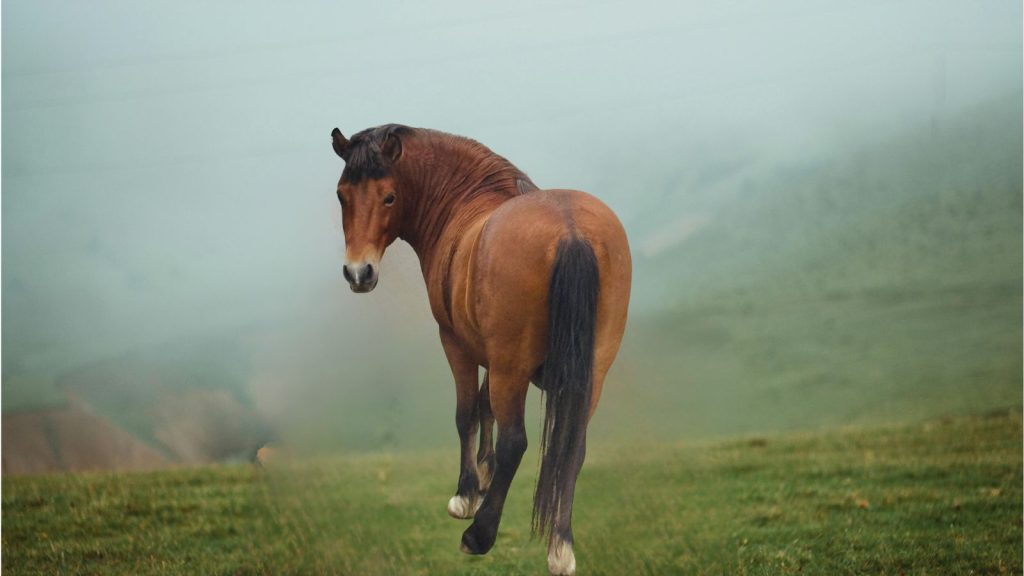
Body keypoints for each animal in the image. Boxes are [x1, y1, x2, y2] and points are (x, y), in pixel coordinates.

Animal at [329, 124, 631, 575]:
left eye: (389, 197)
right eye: (342, 195)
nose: (358, 273)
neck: (466, 203)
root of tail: (571, 231)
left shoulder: (456, 344)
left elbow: (467, 413)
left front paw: (467, 494)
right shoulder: (490, 352)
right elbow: (487, 408)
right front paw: (484, 475)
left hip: (512, 367)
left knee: (516, 442)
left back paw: (480, 534)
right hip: (590, 372)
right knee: (572, 449)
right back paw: (560, 545)